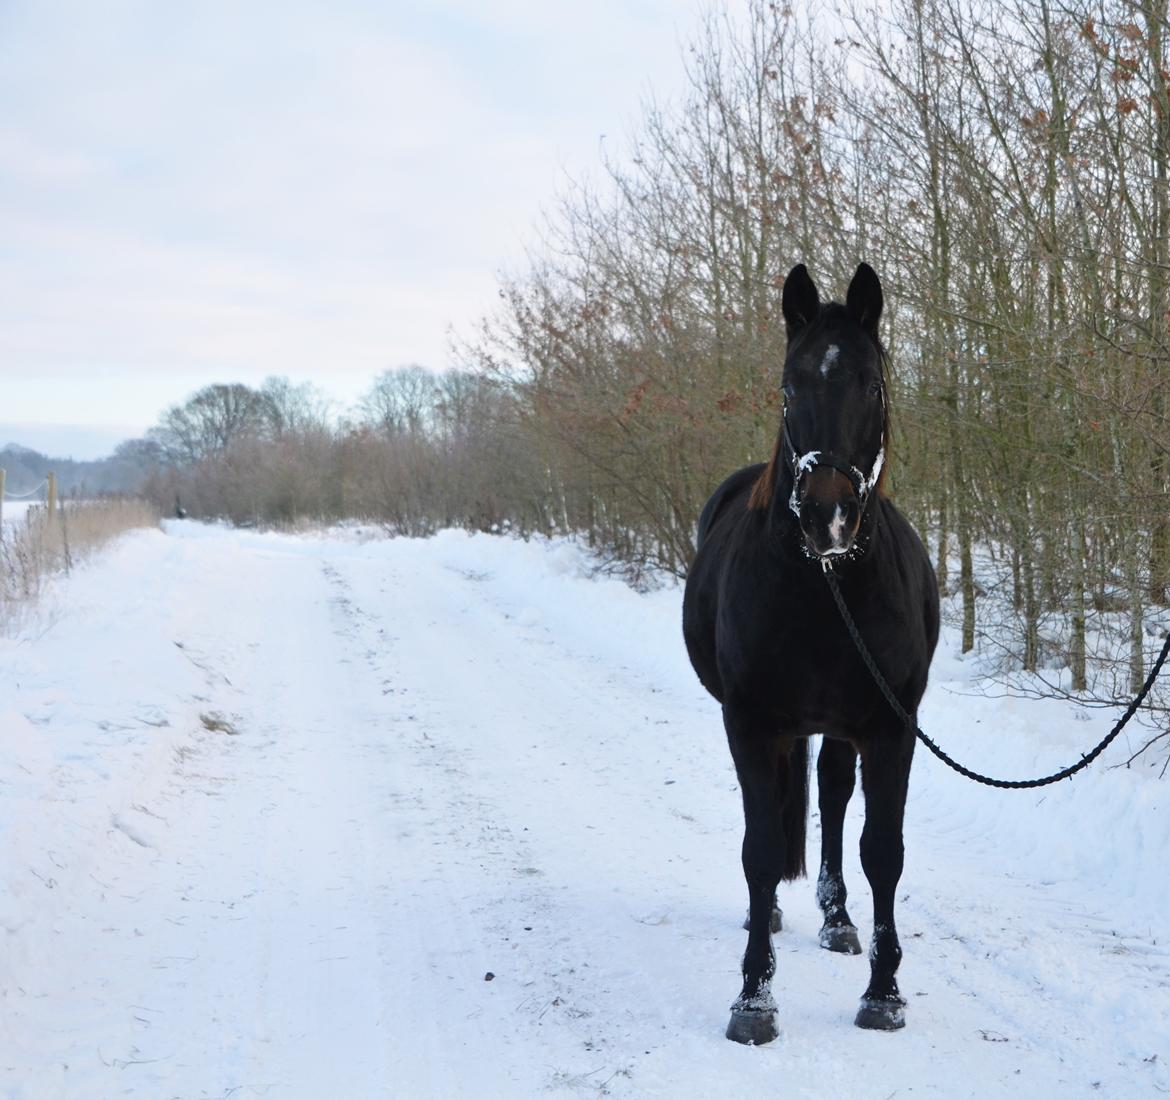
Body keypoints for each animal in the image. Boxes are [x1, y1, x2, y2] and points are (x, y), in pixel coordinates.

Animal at [683, 262, 935, 1043]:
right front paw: (753, 1000)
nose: (829, 515)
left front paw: (883, 993)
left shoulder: (889, 728)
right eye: (789, 387)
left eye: (872, 384)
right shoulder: (751, 723)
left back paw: (837, 918)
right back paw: (769, 917)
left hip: (840, 729)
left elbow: (883, 850)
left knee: (829, 794)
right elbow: (761, 848)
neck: (827, 589)